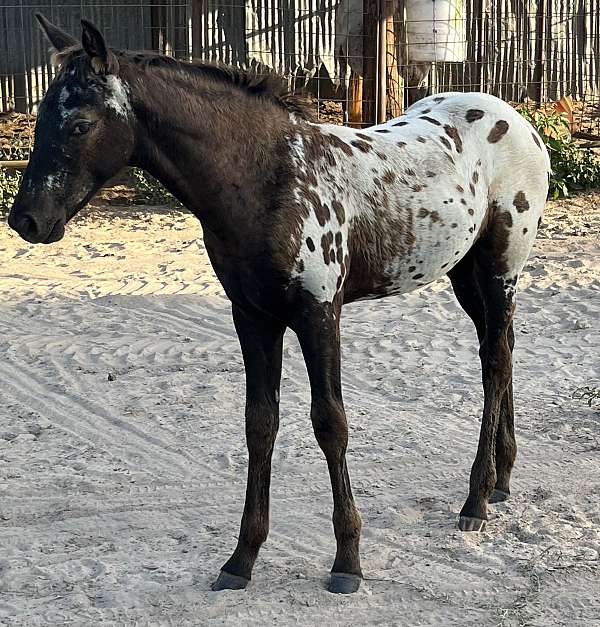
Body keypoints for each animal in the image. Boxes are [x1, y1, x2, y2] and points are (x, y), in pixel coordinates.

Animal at [9, 13, 552, 592]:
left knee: (495, 364)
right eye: (41, 117)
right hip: (466, 276)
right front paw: (241, 559)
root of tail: (521, 124)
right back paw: (501, 479)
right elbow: (259, 424)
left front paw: (347, 562)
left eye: (79, 125)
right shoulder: (252, 318)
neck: (270, 180)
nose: (27, 220)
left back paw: (476, 500)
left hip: (500, 269)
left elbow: (330, 423)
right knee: (502, 351)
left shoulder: (318, 315)